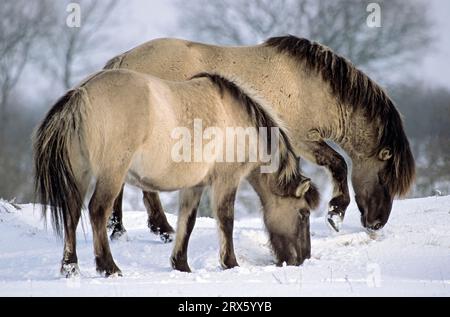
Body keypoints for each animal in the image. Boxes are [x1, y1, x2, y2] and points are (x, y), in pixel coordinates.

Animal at [34, 69, 320, 276]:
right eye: (304, 213)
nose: (302, 259)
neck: (240, 123)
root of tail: (81, 93)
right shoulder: (226, 181)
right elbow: (225, 220)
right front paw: (230, 263)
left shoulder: (195, 185)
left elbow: (188, 222)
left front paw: (180, 264)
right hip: (111, 174)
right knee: (97, 211)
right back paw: (109, 267)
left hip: (80, 174)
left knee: (72, 213)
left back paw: (70, 267)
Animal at [105, 34, 414, 237]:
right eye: (385, 177)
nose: (376, 224)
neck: (312, 87)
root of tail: (124, 60)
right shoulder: (304, 139)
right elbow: (339, 164)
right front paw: (335, 213)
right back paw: (143, 228)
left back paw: (129, 228)